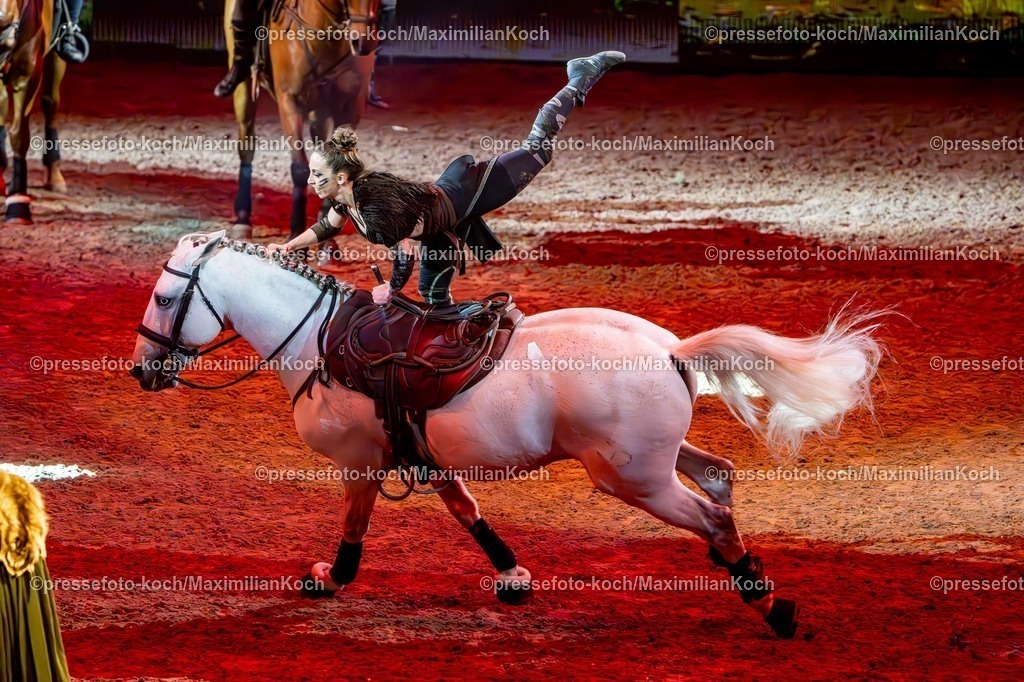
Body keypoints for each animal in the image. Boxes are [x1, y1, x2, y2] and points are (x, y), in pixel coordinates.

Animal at [0, 0, 68, 223]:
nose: (3, 22)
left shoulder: (27, 75)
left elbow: (19, 136)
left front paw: (18, 205)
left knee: (50, 102)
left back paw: (54, 175)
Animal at [131, 231, 885, 638]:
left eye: (165, 299)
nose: (141, 369)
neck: (318, 340)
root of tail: (673, 347)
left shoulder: (362, 463)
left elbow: (354, 526)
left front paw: (329, 578)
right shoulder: (421, 457)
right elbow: (468, 512)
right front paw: (513, 575)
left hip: (632, 479)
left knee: (712, 515)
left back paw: (771, 607)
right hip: (658, 463)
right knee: (720, 478)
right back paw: (752, 580)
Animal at [223, 0, 380, 240]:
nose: (363, 42)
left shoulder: (352, 105)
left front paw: (327, 238)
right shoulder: (290, 102)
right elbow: (299, 169)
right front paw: (297, 233)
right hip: (244, 91)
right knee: (246, 146)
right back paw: (242, 219)